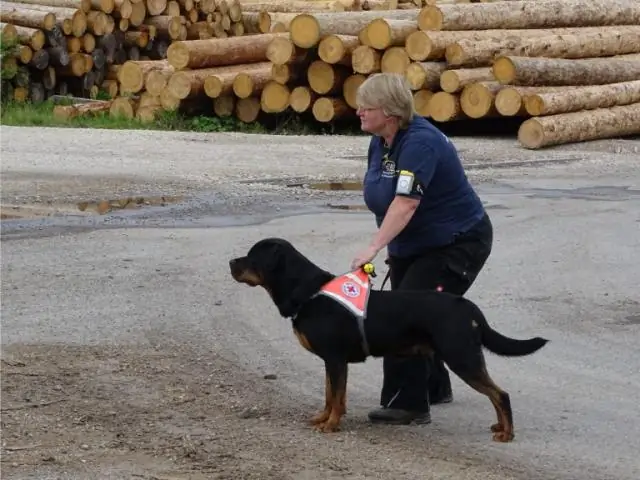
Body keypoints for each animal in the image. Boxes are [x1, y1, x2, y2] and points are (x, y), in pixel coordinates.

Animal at [230, 237, 552, 442]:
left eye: (252, 255)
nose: (231, 261)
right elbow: (330, 394)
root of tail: (467, 306)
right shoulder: (331, 361)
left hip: (462, 357)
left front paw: (331, 425)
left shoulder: (335, 358)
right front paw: (323, 418)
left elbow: (336, 396)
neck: (308, 292)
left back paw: (507, 433)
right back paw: (499, 426)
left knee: (500, 394)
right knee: (495, 395)